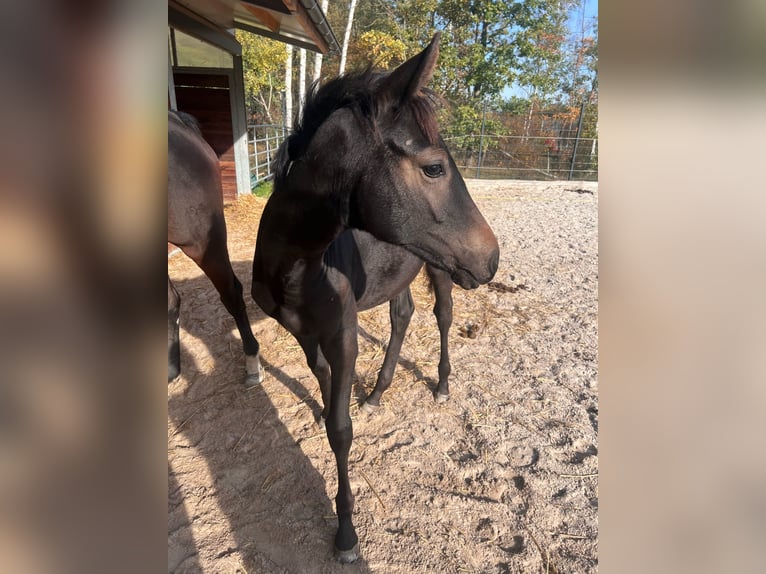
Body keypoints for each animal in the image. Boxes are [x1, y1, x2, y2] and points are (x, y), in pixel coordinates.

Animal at [251, 33, 499, 562]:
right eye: (434, 167)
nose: (492, 257)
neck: (299, 267)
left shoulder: (343, 334)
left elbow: (340, 432)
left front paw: (346, 533)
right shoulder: (305, 332)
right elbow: (322, 383)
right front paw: (327, 404)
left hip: (441, 268)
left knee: (442, 317)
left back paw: (441, 384)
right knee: (403, 316)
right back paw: (379, 392)